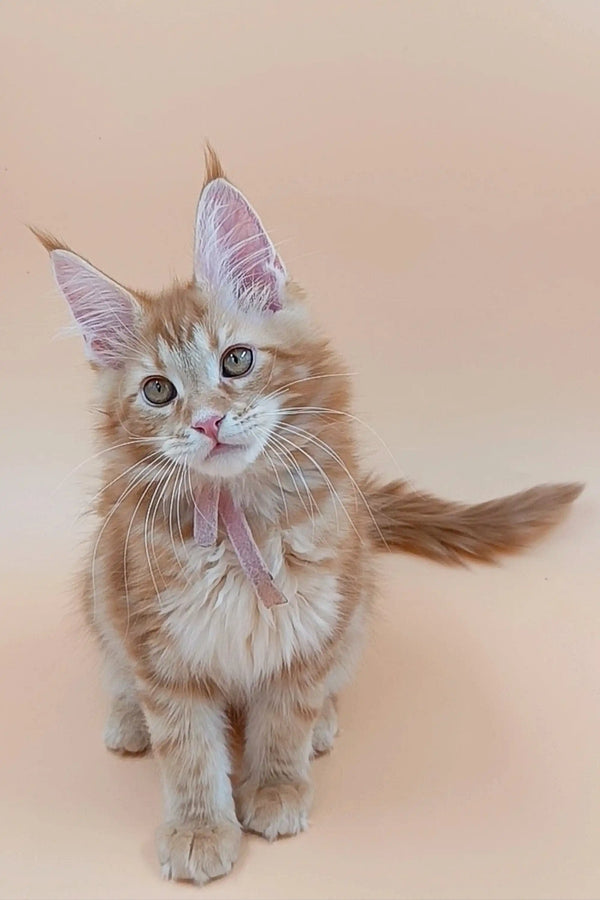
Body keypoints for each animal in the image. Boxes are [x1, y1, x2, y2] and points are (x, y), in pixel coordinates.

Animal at [35, 149, 580, 884]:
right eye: (158, 391)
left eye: (236, 360)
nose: (206, 422)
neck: (239, 524)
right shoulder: (159, 641)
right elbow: (187, 747)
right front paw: (200, 826)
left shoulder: (314, 622)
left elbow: (285, 716)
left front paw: (274, 787)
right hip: (100, 585)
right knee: (121, 672)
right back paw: (127, 720)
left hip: (357, 600)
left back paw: (323, 723)